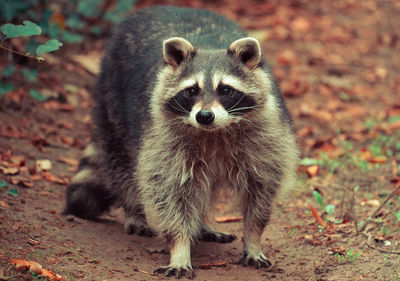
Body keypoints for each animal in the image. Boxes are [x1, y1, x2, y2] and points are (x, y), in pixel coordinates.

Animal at [64, 4, 296, 278]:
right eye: (191, 91)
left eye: (226, 90)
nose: (204, 116)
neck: (215, 132)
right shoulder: (163, 137)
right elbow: (169, 191)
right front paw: (180, 247)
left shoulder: (267, 135)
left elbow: (261, 189)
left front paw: (252, 237)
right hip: (111, 96)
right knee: (122, 162)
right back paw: (134, 210)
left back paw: (201, 224)